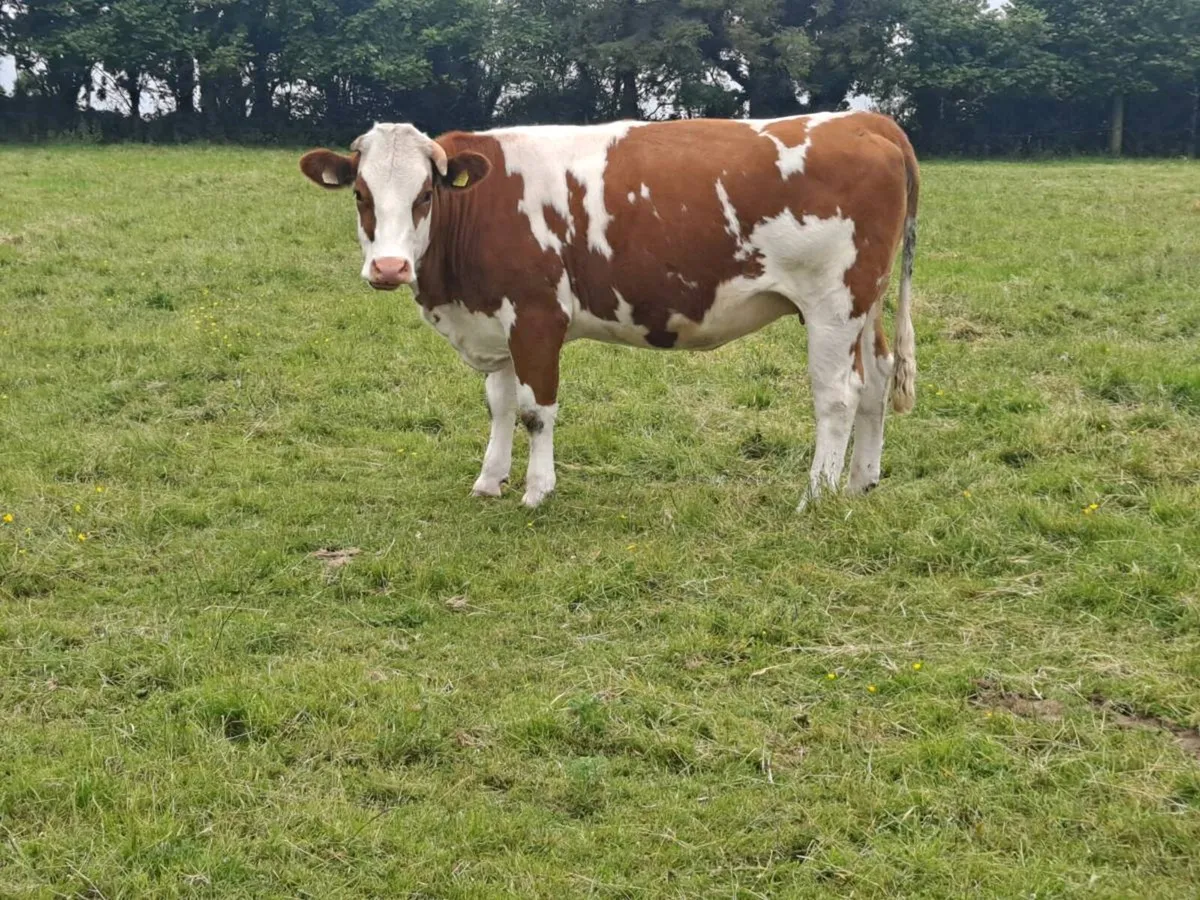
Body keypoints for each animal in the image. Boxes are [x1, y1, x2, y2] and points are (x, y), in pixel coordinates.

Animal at [299, 112, 918, 509]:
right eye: (360, 194)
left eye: (426, 194)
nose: (389, 268)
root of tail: (865, 119)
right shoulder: (495, 319)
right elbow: (499, 405)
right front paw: (489, 480)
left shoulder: (537, 317)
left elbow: (535, 410)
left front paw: (537, 491)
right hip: (865, 305)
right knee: (876, 380)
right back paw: (861, 482)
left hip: (833, 303)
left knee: (837, 395)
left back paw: (816, 495)